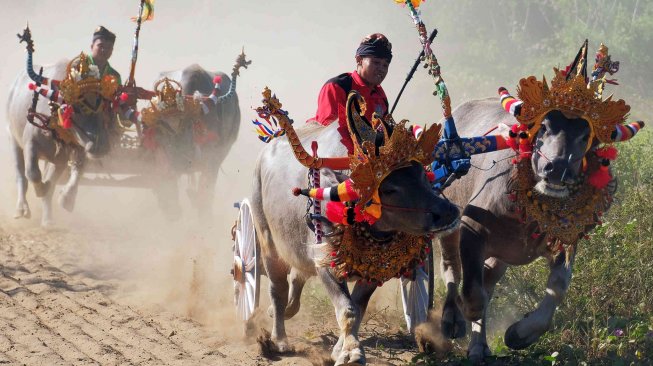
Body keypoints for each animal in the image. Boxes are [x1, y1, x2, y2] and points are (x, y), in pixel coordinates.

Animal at [250, 90, 458, 364]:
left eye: (423, 175)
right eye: (389, 189)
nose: (448, 212)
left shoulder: (375, 270)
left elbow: (358, 307)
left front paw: (342, 348)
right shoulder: (326, 262)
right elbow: (347, 309)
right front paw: (351, 353)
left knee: (297, 277)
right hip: (267, 242)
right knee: (278, 289)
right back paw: (279, 339)